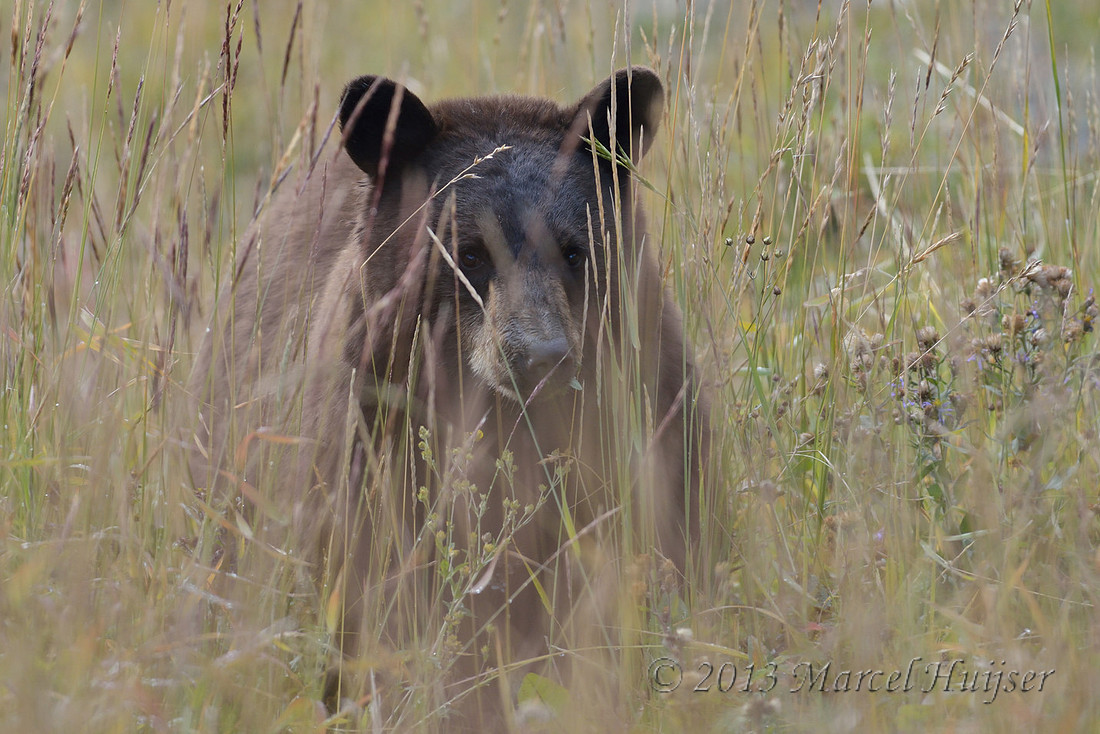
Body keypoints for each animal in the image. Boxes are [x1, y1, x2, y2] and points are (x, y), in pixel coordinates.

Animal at [188, 67, 708, 728]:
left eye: (574, 250)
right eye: (470, 254)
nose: (541, 356)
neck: (504, 421)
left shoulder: (646, 415)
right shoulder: (371, 440)